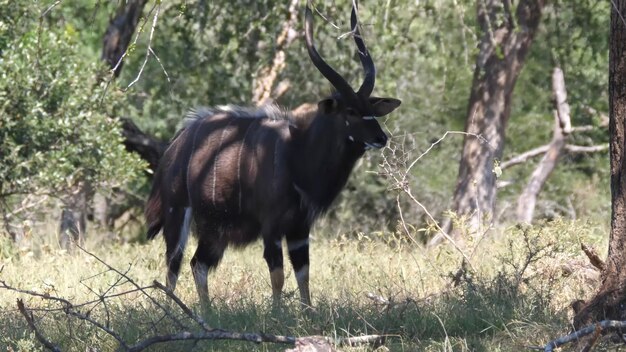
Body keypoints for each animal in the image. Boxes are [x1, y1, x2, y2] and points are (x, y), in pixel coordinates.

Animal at [144, 1, 400, 306]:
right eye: (350, 111)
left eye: (370, 108)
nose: (381, 138)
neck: (298, 154)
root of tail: (174, 147)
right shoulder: (272, 226)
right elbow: (277, 274)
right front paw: (278, 313)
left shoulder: (300, 229)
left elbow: (303, 274)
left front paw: (307, 311)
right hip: (178, 213)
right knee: (173, 267)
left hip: (215, 230)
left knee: (198, 264)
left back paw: (206, 311)